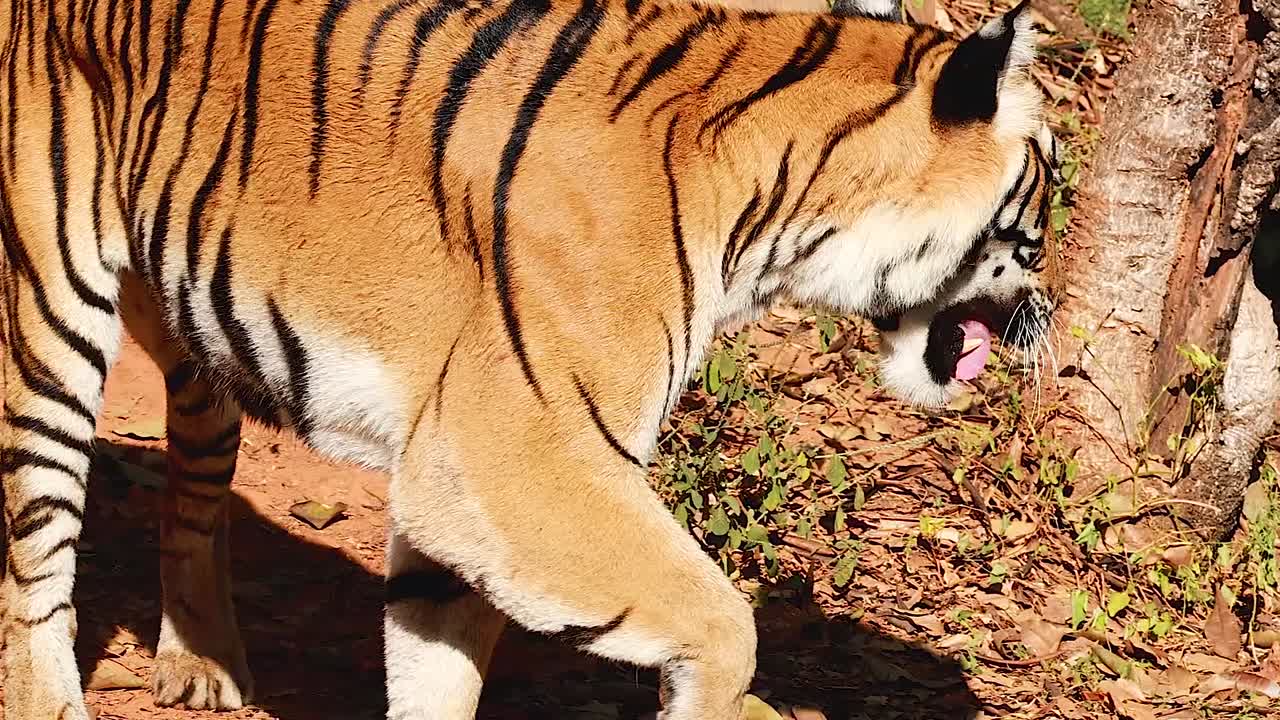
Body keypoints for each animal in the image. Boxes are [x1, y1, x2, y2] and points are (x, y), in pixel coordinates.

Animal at [0, 0, 1060, 715]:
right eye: (1045, 186)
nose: (1046, 310)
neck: (778, 210)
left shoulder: (460, 485)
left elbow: (435, 657)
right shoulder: (517, 456)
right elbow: (728, 624)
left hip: (196, 320)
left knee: (192, 485)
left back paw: (201, 662)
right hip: (50, 298)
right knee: (37, 545)